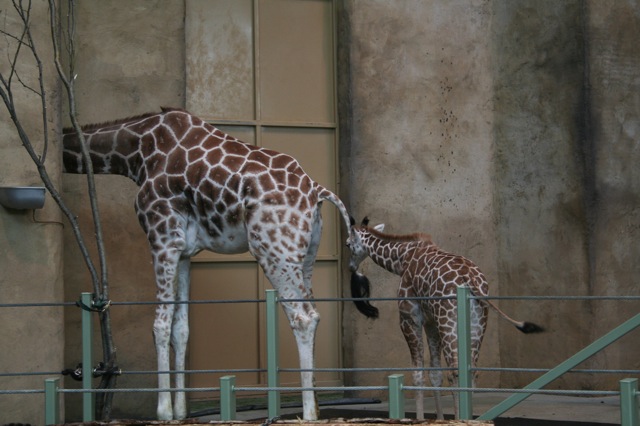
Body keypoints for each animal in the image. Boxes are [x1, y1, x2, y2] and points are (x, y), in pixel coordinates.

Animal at [62, 107, 352, 421]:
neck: (137, 151)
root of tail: (317, 191)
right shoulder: (184, 251)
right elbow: (181, 329)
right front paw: (180, 411)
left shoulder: (161, 237)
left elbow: (160, 325)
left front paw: (163, 411)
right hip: (306, 256)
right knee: (316, 313)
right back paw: (318, 404)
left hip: (275, 251)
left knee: (303, 317)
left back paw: (309, 413)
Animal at [346, 217, 543, 420]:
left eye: (347, 244)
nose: (351, 267)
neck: (402, 258)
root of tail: (471, 280)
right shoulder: (431, 323)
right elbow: (435, 373)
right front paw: (439, 418)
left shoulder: (409, 318)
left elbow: (418, 373)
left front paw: (420, 419)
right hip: (477, 325)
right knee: (471, 371)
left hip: (449, 324)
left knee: (455, 372)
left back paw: (460, 418)